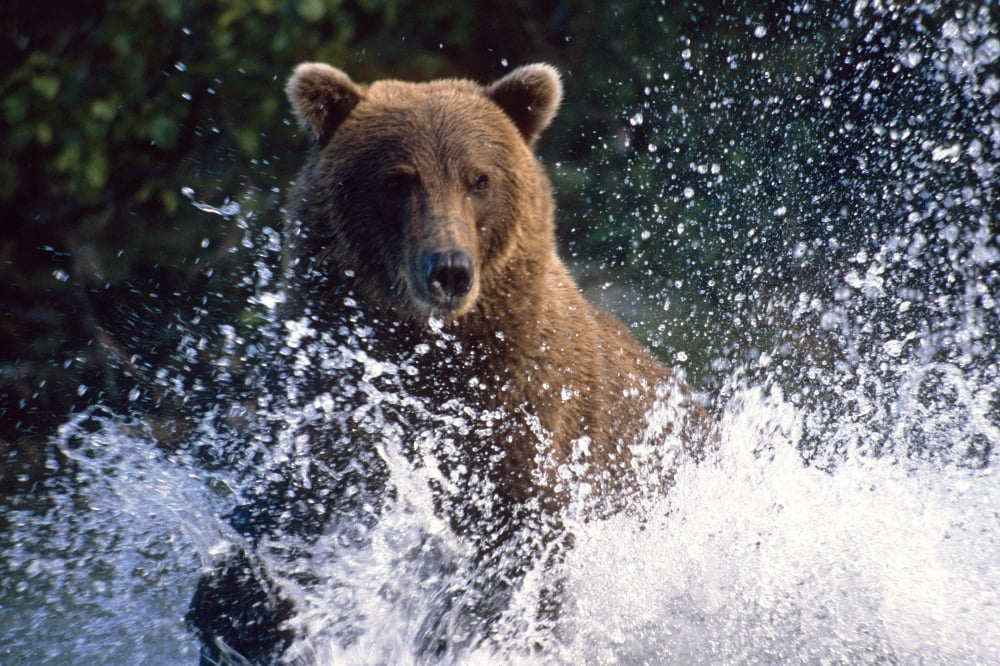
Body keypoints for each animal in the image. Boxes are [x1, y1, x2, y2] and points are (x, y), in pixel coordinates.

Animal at [188, 62, 712, 663]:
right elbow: (287, 515)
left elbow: (514, 561)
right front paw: (247, 606)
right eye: (398, 179)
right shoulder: (330, 405)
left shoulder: (528, 415)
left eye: (479, 179)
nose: (449, 270)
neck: (431, 354)